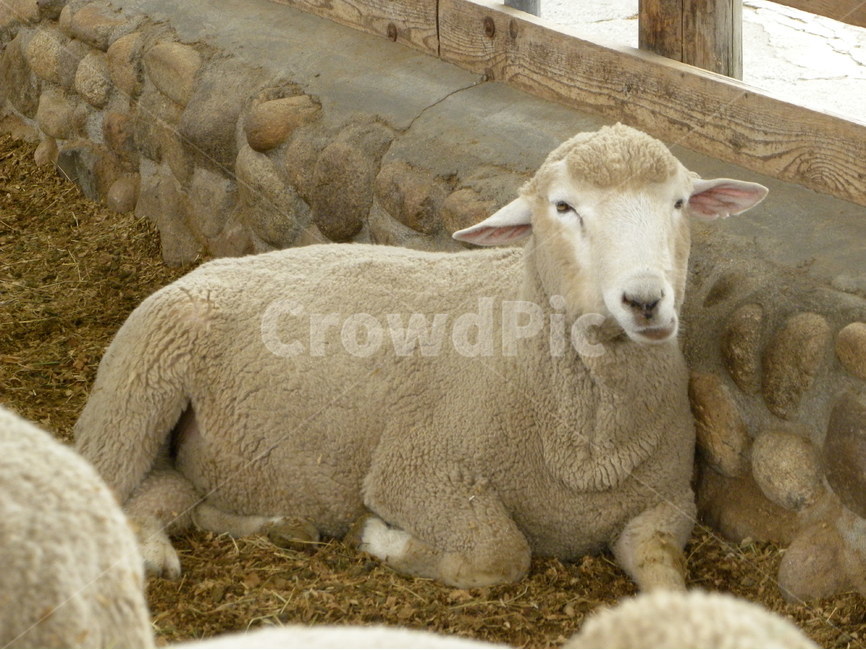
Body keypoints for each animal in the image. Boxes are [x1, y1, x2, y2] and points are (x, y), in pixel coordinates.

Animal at [74, 123, 768, 589]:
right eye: (564, 207)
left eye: (679, 202)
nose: (645, 300)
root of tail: (205, 267)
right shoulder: (417, 469)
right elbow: (499, 554)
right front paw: (384, 540)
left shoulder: (667, 506)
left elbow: (667, 578)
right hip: (137, 387)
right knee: (105, 480)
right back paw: (153, 554)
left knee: (170, 494)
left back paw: (271, 526)